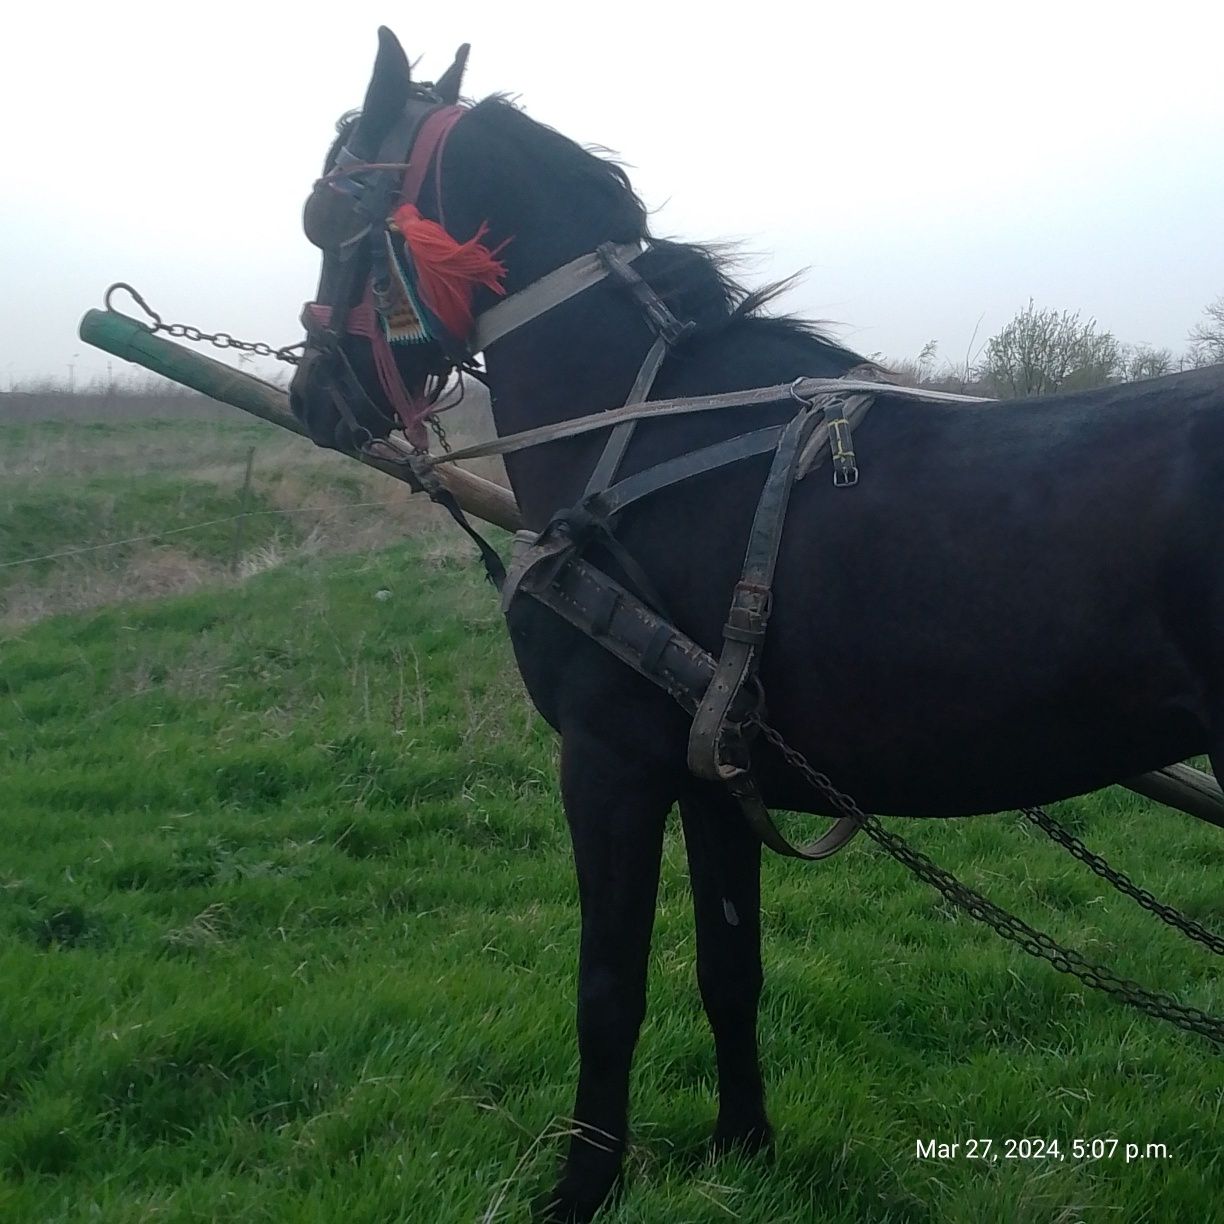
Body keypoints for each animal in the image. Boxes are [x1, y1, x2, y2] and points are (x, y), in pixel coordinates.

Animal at [288, 28, 1224, 1224]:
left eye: (327, 210)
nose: (315, 396)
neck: (636, 434)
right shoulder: (712, 770)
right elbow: (729, 969)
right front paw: (744, 1145)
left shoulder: (609, 763)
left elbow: (607, 989)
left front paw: (582, 1182)